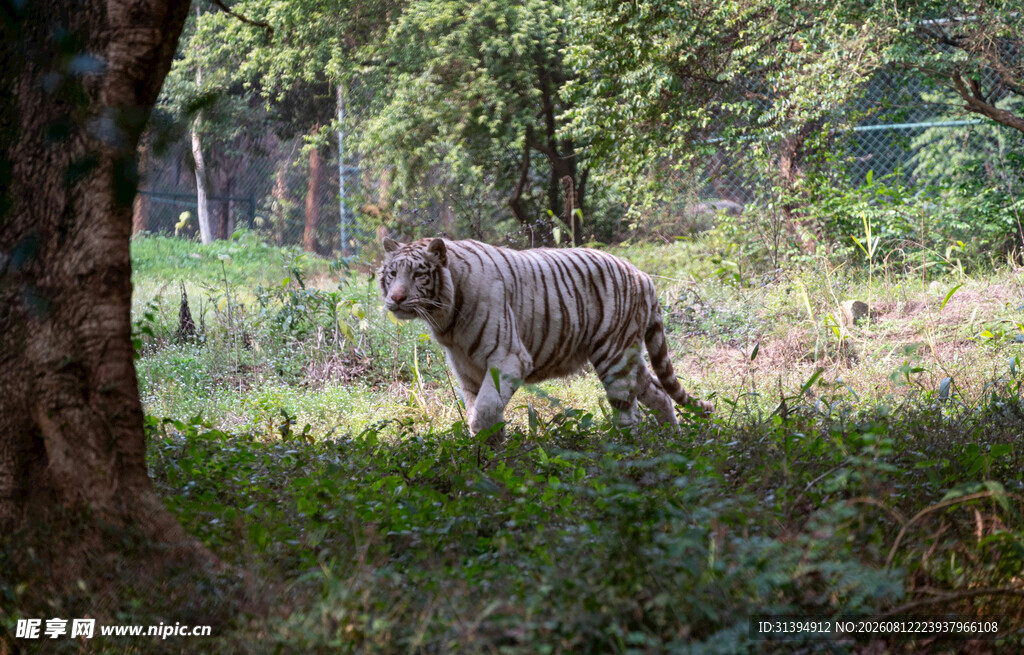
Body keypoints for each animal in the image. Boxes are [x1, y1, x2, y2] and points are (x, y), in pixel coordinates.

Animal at [377, 237, 712, 436]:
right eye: (392, 274)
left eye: (418, 274)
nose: (395, 298)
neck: (445, 319)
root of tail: (642, 274)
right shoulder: (468, 371)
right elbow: (481, 413)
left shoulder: (509, 360)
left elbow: (484, 412)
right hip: (629, 356)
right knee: (658, 393)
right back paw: (671, 440)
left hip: (613, 357)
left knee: (629, 413)